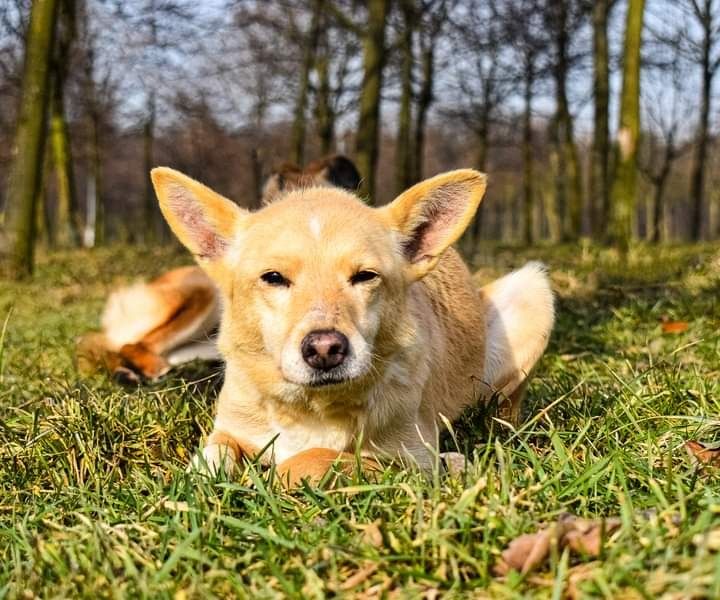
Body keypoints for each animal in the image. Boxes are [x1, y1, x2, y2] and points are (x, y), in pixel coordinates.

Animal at [139, 164, 556, 482]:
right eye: (273, 277)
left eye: (365, 276)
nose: (325, 349)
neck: (310, 407)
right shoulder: (230, 428)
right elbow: (212, 454)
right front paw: (200, 477)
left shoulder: (407, 456)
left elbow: (311, 459)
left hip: (533, 289)